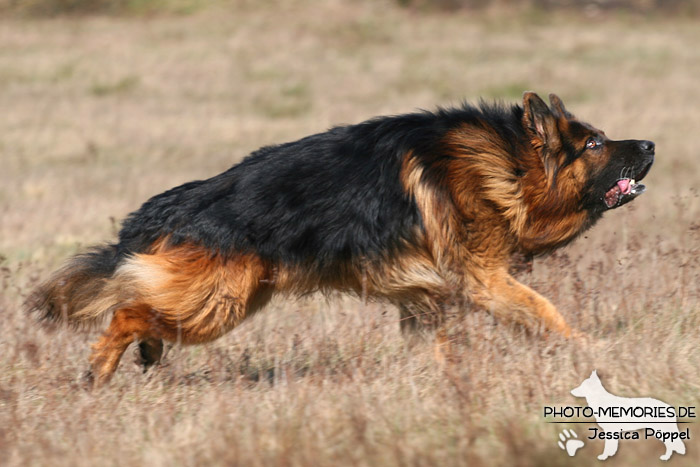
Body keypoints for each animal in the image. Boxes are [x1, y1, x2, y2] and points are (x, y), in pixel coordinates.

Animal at [26, 93, 652, 386]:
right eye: (594, 143)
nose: (649, 144)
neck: (510, 165)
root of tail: (174, 203)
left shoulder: (425, 300)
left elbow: (439, 348)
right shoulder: (484, 280)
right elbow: (548, 313)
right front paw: (592, 350)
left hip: (230, 297)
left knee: (143, 309)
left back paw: (145, 353)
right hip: (219, 302)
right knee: (128, 311)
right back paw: (100, 369)